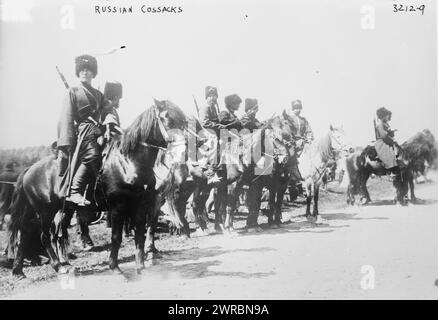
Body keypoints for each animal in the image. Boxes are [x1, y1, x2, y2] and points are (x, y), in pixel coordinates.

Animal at [7, 100, 186, 278]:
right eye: (165, 117)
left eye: (183, 121)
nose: (183, 151)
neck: (128, 161)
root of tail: (29, 169)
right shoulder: (118, 207)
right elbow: (116, 237)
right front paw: (115, 267)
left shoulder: (140, 205)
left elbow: (140, 235)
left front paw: (141, 267)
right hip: (44, 211)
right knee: (43, 236)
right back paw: (57, 266)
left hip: (49, 210)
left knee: (29, 234)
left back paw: (21, 270)